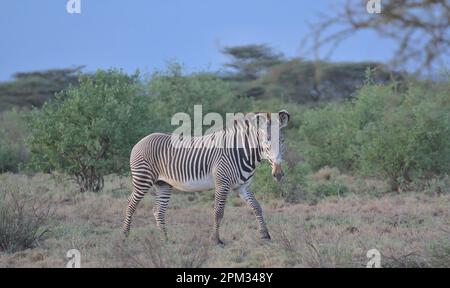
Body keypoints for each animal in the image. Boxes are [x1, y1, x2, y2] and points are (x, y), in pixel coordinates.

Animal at [123, 109, 290, 244]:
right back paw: (125, 236)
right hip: (143, 179)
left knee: (158, 210)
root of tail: (141, 140)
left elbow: (257, 207)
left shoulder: (243, 186)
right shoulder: (222, 184)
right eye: (266, 141)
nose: (278, 174)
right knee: (130, 204)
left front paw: (265, 235)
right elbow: (218, 212)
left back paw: (166, 239)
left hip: (163, 184)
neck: (241, 152)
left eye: (282, 140)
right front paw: (215, 240)